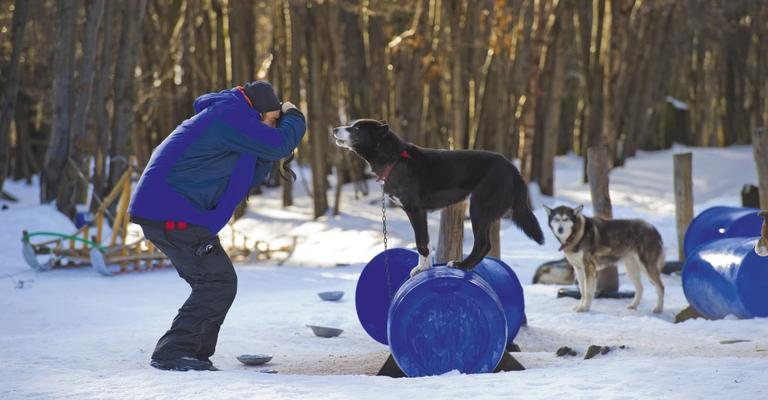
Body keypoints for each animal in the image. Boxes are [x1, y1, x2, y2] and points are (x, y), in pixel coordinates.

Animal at [332, 119, 544, 276]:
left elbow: (420, 242)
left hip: (479, 207)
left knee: (483, 244)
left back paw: (461, 265)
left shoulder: (415, 210)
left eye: (356, 128)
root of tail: (514, 170)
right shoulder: (421, 213)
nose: (334, 129)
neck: (394, 158)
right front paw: (425, 267)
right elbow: (425, 240)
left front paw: (422, 268)